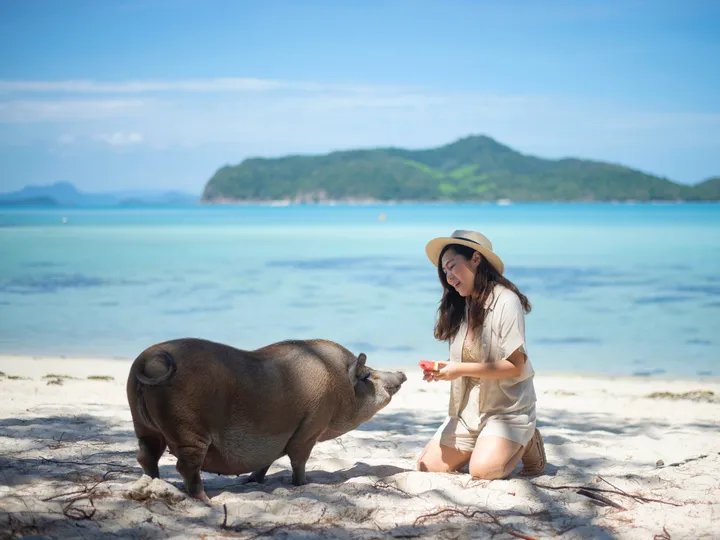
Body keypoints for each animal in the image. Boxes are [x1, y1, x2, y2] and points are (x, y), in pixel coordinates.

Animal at [126, 338, 406, 502]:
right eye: (367, 375)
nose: (402, 373)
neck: (338, 384)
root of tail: (148, 360)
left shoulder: (277, 439)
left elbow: (267, 461)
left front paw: (252, 481)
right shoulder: (310, 427)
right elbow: (298, 459)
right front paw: (303, 484)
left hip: (144, 426)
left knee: (146, 455)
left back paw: (155, 484)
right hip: (187, 428)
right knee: (185, 466)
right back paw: (206, 501)